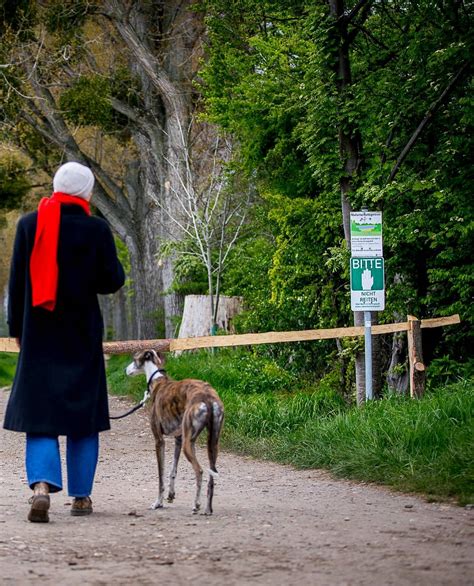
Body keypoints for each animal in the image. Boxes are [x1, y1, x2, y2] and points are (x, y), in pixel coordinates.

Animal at [127, 350, 225, 512]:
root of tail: (207, 398)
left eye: (135, 359)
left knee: (199, 471)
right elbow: (173, 470)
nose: (126, 370)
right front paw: (171, 495)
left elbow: (161, 475)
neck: (158, 380)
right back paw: (208, 509)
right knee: (211, 476)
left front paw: (158, 502)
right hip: (211, 443)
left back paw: (196, 505)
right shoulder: (178, 438)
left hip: (188, 444)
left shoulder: (159, 440)